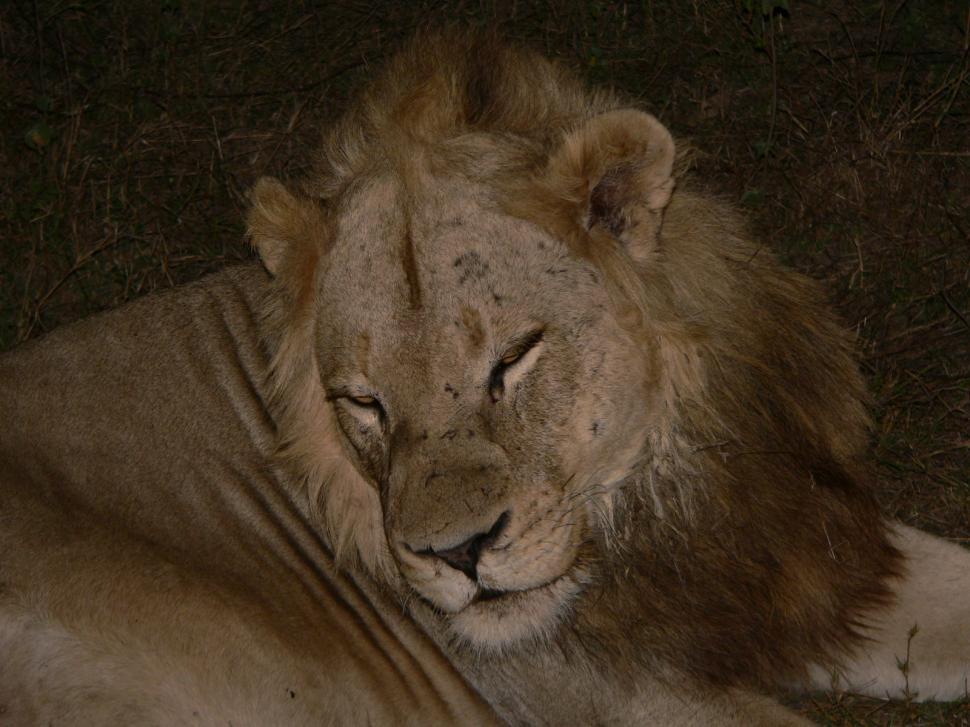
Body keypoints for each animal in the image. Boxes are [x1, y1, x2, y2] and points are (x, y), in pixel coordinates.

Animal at [1, 30, 968, 726]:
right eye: (364, 402)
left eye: (512, 358)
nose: (455, 555)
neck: (664, 500)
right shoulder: (622, 703)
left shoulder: (803, 551)